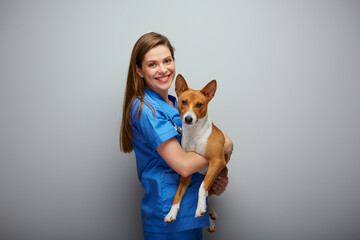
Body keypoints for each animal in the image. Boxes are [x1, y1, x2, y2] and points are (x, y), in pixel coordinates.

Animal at [165, 74, 229, 232]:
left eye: (199, 104)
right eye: (184, 102)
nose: (188, 119)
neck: (194, 134)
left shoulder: (217, 161)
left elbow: (201, 188)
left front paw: (200, 208)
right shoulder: (185, 172)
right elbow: (177, 195)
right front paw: (171, 212)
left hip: (220, 175)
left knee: (207, 193)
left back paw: (208, 213)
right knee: (208, 195)